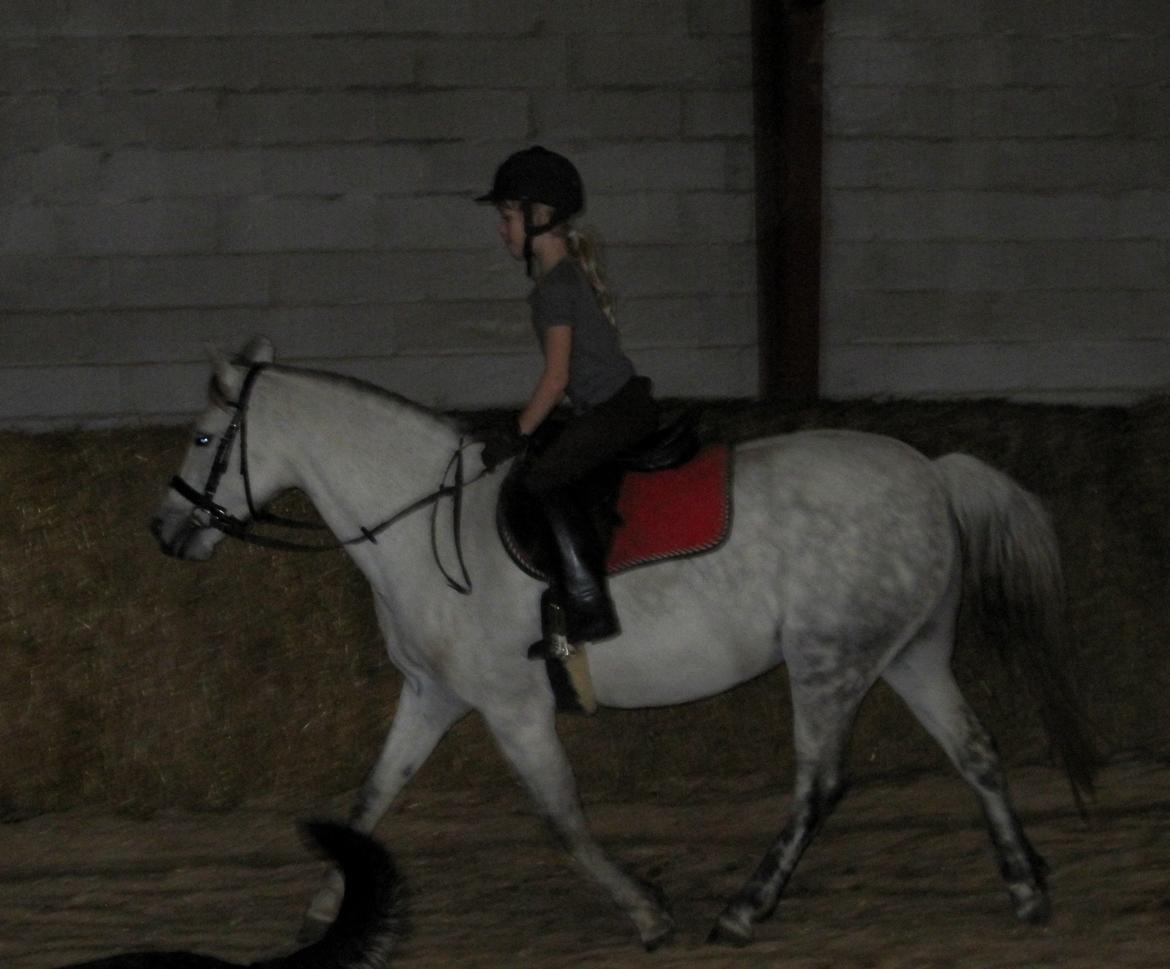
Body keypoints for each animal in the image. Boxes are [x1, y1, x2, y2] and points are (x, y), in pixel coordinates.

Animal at [151, 337, 1096, 949]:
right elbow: (372, 795)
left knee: (820, 783)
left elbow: (561, 818)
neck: (426, 523)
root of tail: (931, 472)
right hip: (908, 653)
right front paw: (327, 904)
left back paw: (746, 909)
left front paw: (646, 910)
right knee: (976, 752)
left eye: (202, 438)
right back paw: (1026, 887)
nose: (165, 531)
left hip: (830, 661)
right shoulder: (431, 696)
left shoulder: (512, 706)